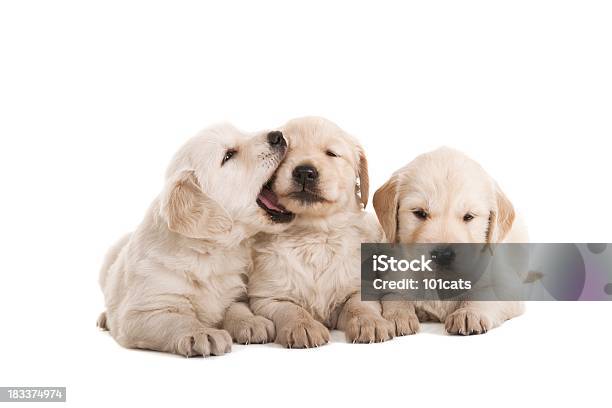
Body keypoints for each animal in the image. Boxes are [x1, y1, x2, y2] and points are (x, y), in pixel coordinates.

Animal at [98, 125, 294, 356]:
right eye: (228, 155)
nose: (278, 135)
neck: (210, 252)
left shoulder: (235, 292)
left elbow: (236, 307)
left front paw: (251, 322)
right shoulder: (140, 312)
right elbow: (175, 319)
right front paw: (201, 333)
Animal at [247, 115, 394, 348]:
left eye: (331, 153)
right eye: (287, 151)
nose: (304, 172)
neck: (313, 234)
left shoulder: (360, 286)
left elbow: (358, 306)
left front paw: (370, 322)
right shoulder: (267, 297)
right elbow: (290, 309)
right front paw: (303, 326)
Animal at [372, 148, 524, 336]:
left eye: (469, 216)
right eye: (420, 213)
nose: (443, 255)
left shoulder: (508, 285)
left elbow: (486, 295)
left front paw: (468, 313)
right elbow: (394, 295)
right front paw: (398, 316)